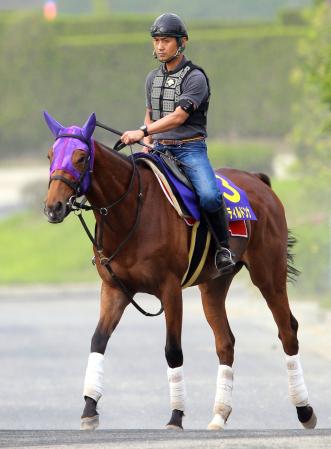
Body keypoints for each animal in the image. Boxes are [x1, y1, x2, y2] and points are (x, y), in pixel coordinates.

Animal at [42, 112, 318, 430]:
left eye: (81, 156)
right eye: (50, 155)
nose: (53, 207)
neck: (133, 208)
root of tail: (258, 181)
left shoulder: (170, 289)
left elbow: (172, 351)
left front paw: (175, 415)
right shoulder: (114, 289)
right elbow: (98, 340)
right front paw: (89, 408)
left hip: (268, 273)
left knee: (287, 331)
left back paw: (304, 410)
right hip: (214, 285)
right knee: (225, 342)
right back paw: (219, 415)